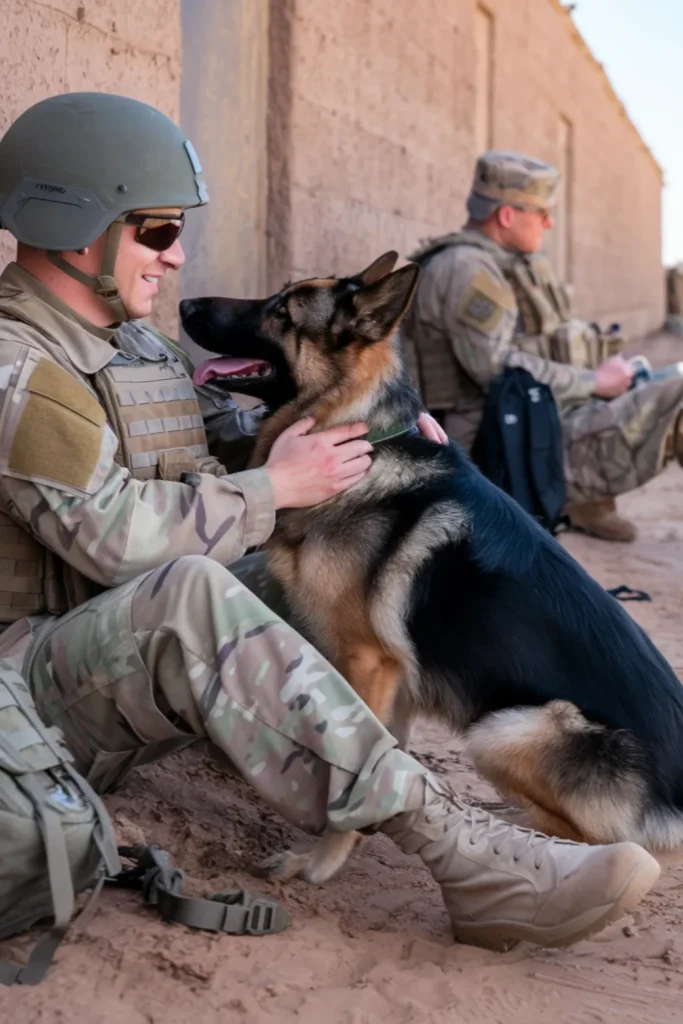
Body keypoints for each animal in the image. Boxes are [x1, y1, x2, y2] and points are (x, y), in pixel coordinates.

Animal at [180, 251, 683, 884]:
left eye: (281, 311)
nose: (182, 303)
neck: (365, 435)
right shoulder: (393, 678)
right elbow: (384, 762)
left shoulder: (367, 662)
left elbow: (355, 774)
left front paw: (318, 862)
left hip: (503, 731)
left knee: (609, 842)